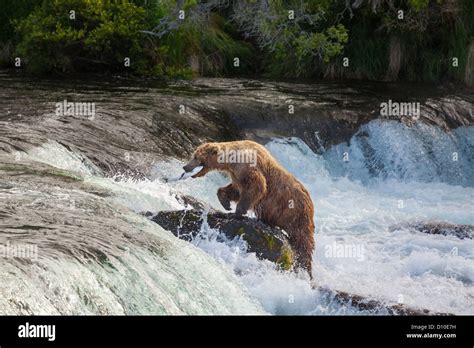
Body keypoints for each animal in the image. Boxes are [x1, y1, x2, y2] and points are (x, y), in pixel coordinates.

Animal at [184, 140, 314, 276]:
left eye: (196, 157)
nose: (185, 167)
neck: (231, 161)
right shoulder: (237, 175)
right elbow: (235, 190)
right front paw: (226, 204)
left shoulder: (249, 166)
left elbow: (256, 187)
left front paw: (235, 213)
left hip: (295, 213)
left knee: (303, 241)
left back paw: (306, 268)